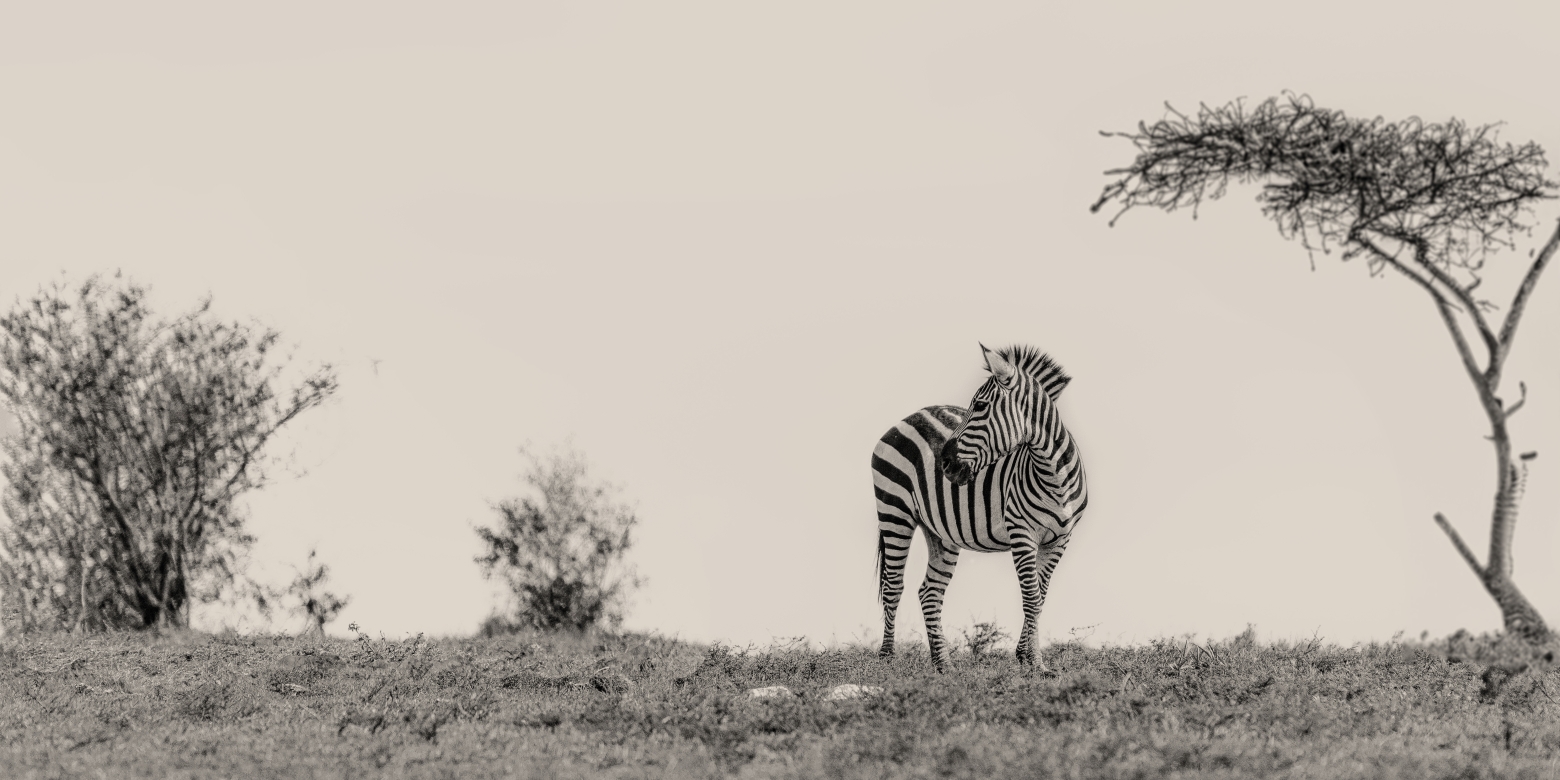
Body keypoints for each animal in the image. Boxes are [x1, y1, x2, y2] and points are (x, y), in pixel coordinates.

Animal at [873, 344, 1092, 673]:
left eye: (979, 406)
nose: (945, 463)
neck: (1054, 475)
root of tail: (909, 417)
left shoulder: (1060, 539)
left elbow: (1040, 597)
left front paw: (1025, 657)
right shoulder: (1022, 531)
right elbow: (1031, 597)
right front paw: (1036, 665)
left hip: (940, 532)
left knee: (929, 592)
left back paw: (944, 665)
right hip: (894, 510)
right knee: (893, 585)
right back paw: (887, 658)